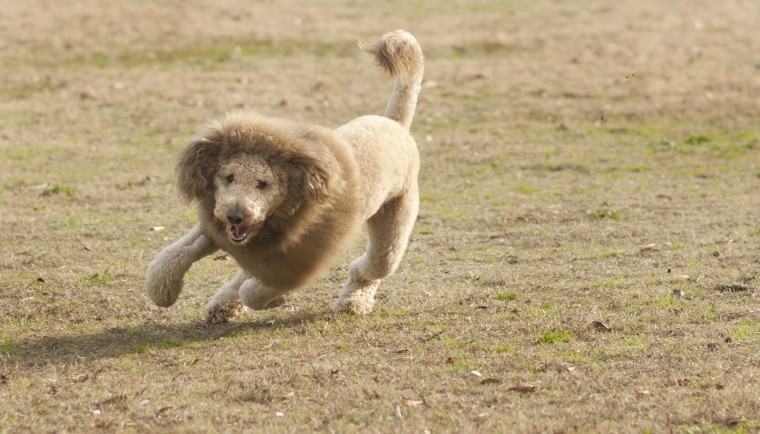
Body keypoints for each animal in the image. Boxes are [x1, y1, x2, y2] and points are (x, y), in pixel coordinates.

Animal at [145, 29, 424, 322]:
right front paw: (161, 290)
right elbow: (172, 257)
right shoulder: (218, 229)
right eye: (228, 177)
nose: (235, 216)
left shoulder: (297, 260)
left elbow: (255, 291)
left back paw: (352, 302)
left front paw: (273, 300)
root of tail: (394, 123)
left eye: (263, 184)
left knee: (372, 266)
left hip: (393, 226)